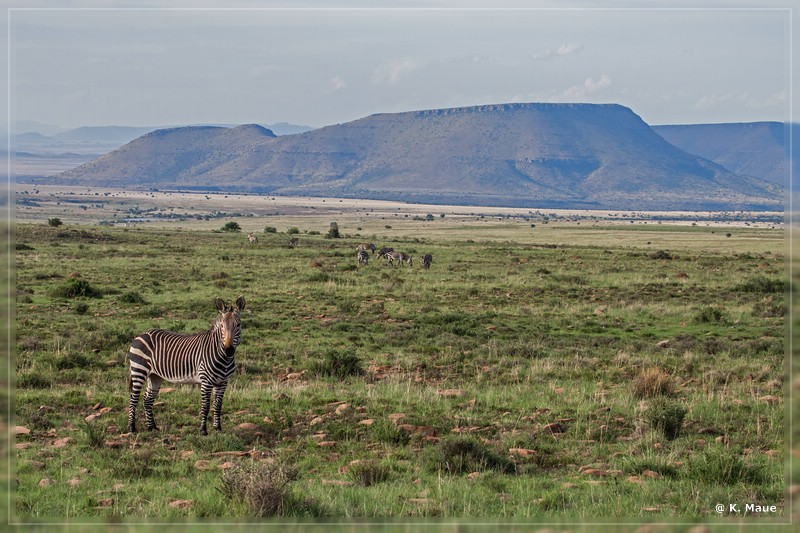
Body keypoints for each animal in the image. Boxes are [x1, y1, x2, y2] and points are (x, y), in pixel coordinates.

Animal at [126, 294, 245, 434]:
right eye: (222, 326)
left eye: (238, 325)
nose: (229, 350)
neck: (224, 359)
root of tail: (141, 334)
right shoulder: (206, 381)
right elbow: (205, 406)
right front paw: (203, 430)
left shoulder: (223, 382)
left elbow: (218, 405)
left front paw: (218, 428)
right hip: (139, 370)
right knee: (133, 398)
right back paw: (132, 428)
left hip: (155, 376)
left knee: (147, 399)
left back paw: (152, 427)